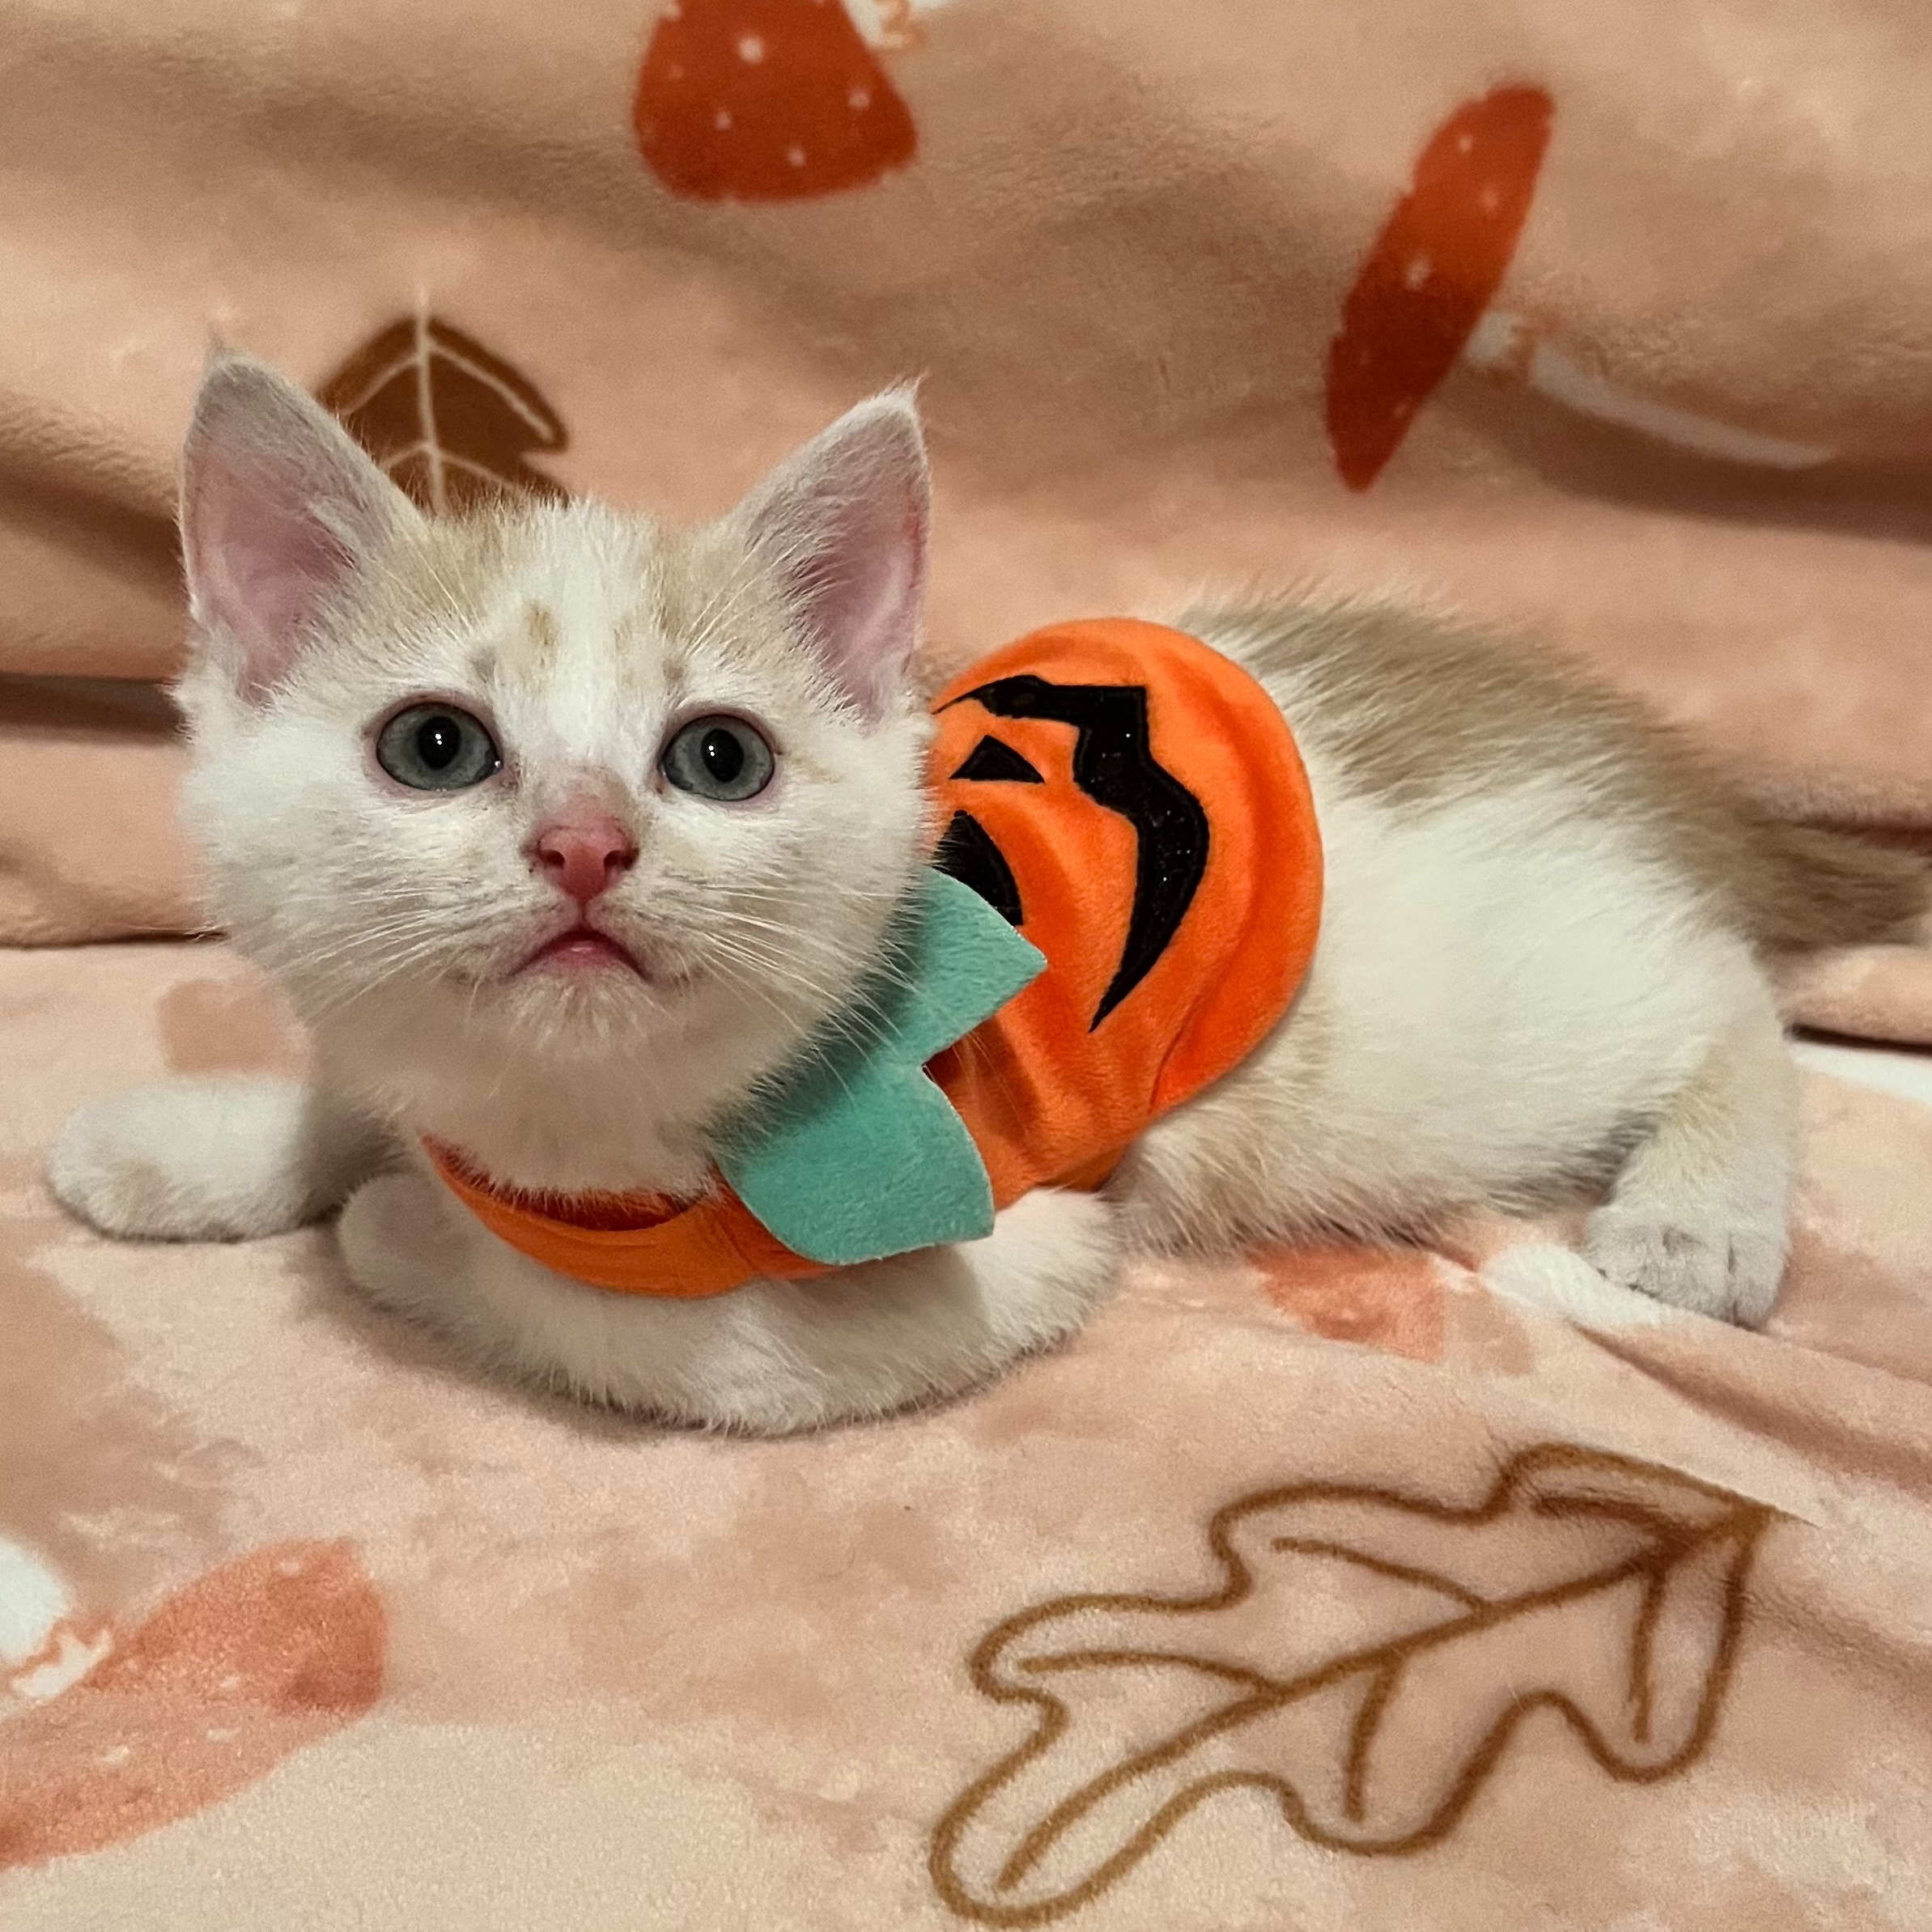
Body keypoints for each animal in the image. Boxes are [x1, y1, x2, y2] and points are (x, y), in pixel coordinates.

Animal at [48, 354, 1927, 1432]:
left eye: (716, 758)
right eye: (433, 745)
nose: (584, 841)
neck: (585, 1126)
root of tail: (1626, 749)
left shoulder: (1000, 1245)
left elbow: (692, 1351)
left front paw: (397, 1231)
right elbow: (365, 1094)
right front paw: (191, 1147)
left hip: (1456, 1031)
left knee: (1718, 987)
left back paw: (1701, 1205)